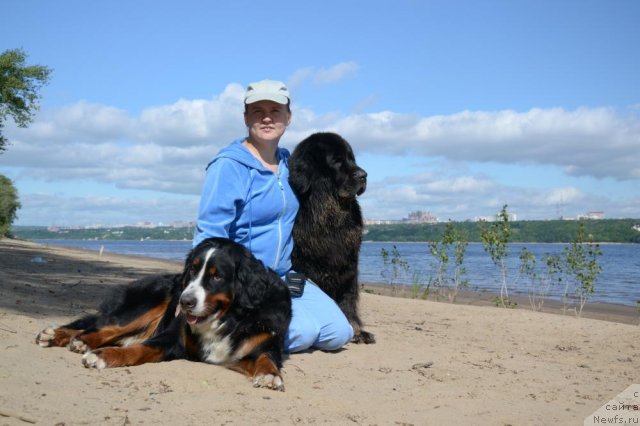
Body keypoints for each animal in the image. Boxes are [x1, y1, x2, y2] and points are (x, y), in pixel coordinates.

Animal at [36, 238, 292, 392]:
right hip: (147, 305)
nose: (185, 302)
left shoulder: (263, 342)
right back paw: (68, 338)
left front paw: (270, 375)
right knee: (103, 327)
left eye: (217, 276)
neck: (229, 318)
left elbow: (267, 358)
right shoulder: (173, 337)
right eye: (192, 270)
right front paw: (103, 355)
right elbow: (139, 349)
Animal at [290, 131, 376, 344]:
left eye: (352, 159)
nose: (364, 175)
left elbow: (348, 299)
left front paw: (357, 330)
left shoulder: (349, 267)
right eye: (336, 161)